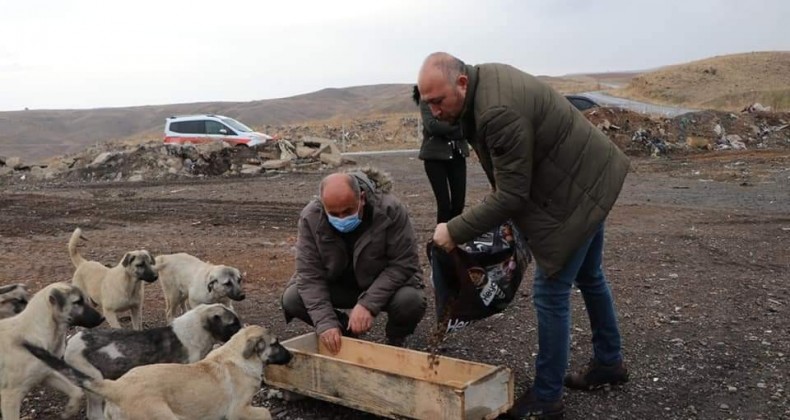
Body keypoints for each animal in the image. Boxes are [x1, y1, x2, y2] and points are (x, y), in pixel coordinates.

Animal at [0, 282, 105, 420]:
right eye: (77, 302)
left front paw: (69, 410)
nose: (103, 318)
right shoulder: (10, 397)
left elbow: (76, 391)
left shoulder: (46, 374)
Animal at [27, 324, 296, 420]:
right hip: (163, 417)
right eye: (275, 344)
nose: (292, 356)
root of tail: (117, 386)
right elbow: (265, 413)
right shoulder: (238, 410)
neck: (238, 355)